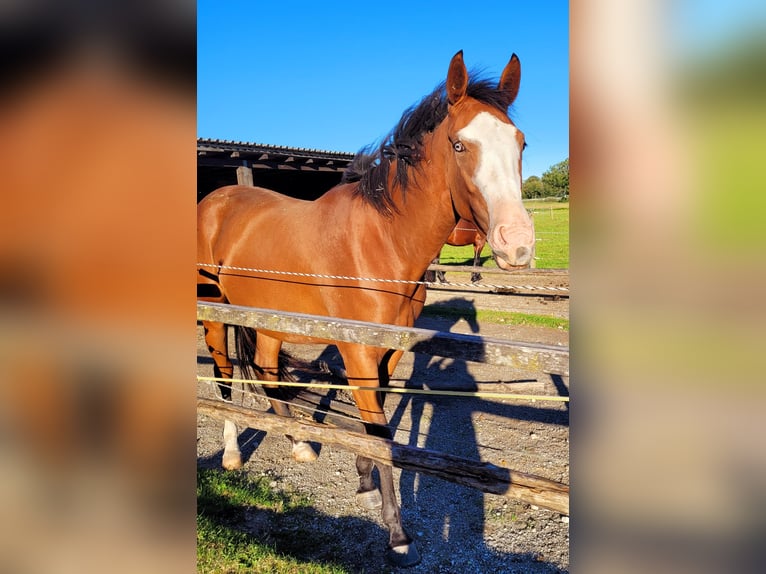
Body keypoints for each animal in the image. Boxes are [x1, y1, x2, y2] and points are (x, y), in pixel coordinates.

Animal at [196, 49, 536, 568]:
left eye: (520, 142)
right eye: (459, 145)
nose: (517, 245)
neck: (381, 243)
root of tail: (216, 199)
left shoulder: (389, 350)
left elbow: (376, 419)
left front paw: (361, 476)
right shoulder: (356, 350)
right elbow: (379, 432)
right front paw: (397, 535)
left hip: (269, 322)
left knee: (268, 372)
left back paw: (299, 443)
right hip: (216, 313)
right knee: (224, 374)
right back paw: (233, 454)